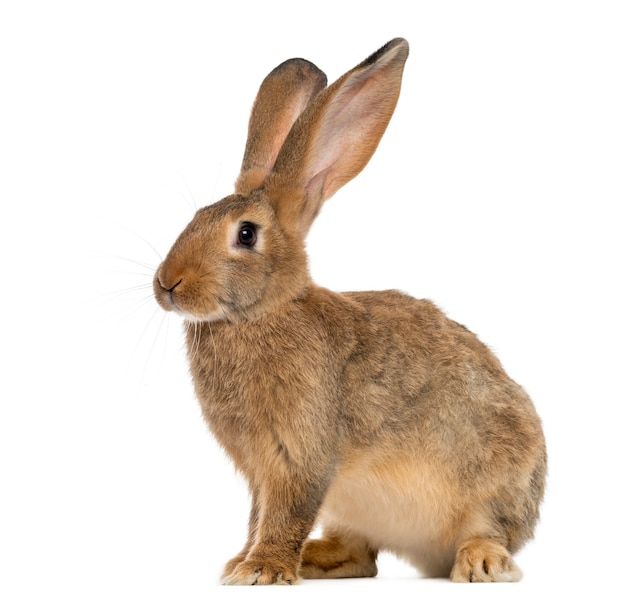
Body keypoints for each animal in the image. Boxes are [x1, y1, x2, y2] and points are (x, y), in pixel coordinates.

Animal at [152, 37, 544, 584]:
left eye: (246, 234)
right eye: (194, 218)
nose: (167, 284)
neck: (263, 314)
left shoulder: (300, 453)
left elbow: (286, 510)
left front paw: (262, 570)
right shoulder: (260, 470)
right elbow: (259, 513)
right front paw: (242, 562)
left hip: (494, 483)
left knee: (489, 528)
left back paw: (480, 563)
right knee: (362, 557)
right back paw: (317, 557)